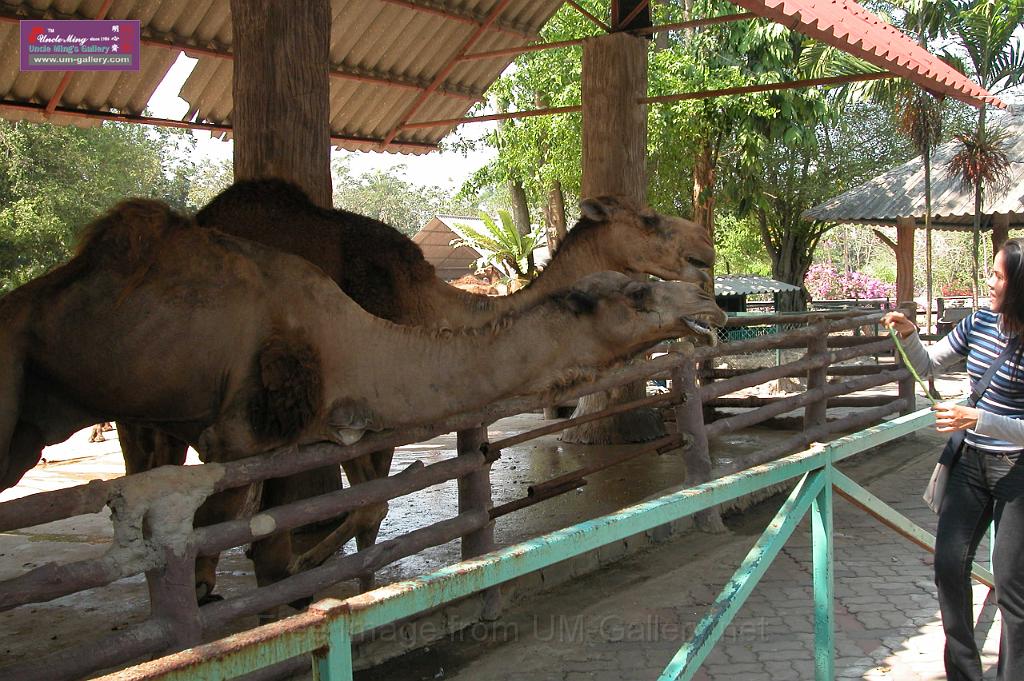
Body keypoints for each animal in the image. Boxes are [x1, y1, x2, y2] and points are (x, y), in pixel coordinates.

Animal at [0, 199, 726, 591]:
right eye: (652, 223)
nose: (708, 285)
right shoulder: (245, 438)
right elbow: (293, 532)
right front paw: (299, 575)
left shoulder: (345, 425)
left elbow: (359, 512)